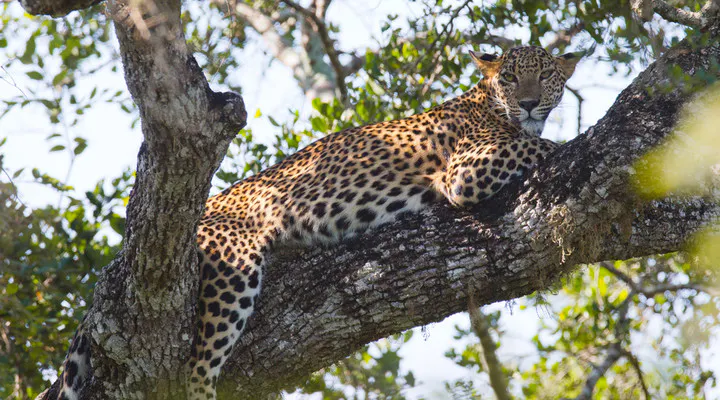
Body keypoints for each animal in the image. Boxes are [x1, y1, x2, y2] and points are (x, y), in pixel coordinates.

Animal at [51, 45, 580, 400]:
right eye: (509, 77)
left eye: (545, 75)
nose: (528, 103)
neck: (489, 103)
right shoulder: (466, 170)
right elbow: (541, 145)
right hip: (231, 269)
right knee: (197, 369)